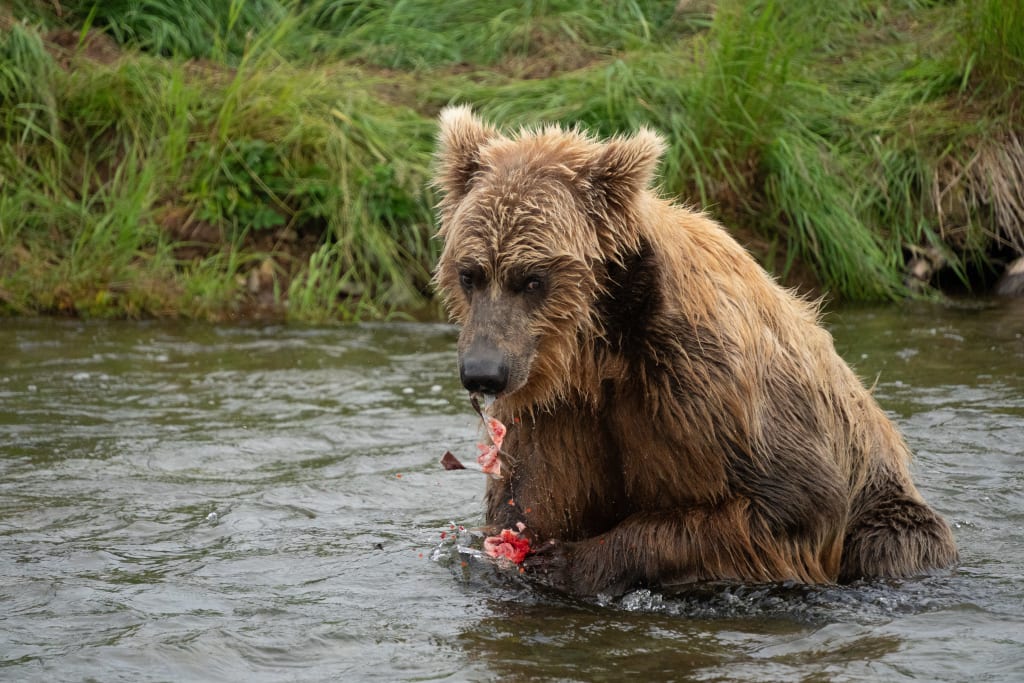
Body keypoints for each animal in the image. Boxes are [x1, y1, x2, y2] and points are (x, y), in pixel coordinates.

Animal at [432, 105, 958, 596]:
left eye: (532, 279)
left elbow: (793, 501)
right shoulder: (556, 408)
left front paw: (571, 561)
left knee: (891, 541)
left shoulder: (709, 382)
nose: (483, 372)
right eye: (470, 273)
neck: (603, 348)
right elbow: (534, 498)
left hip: (881, 499)